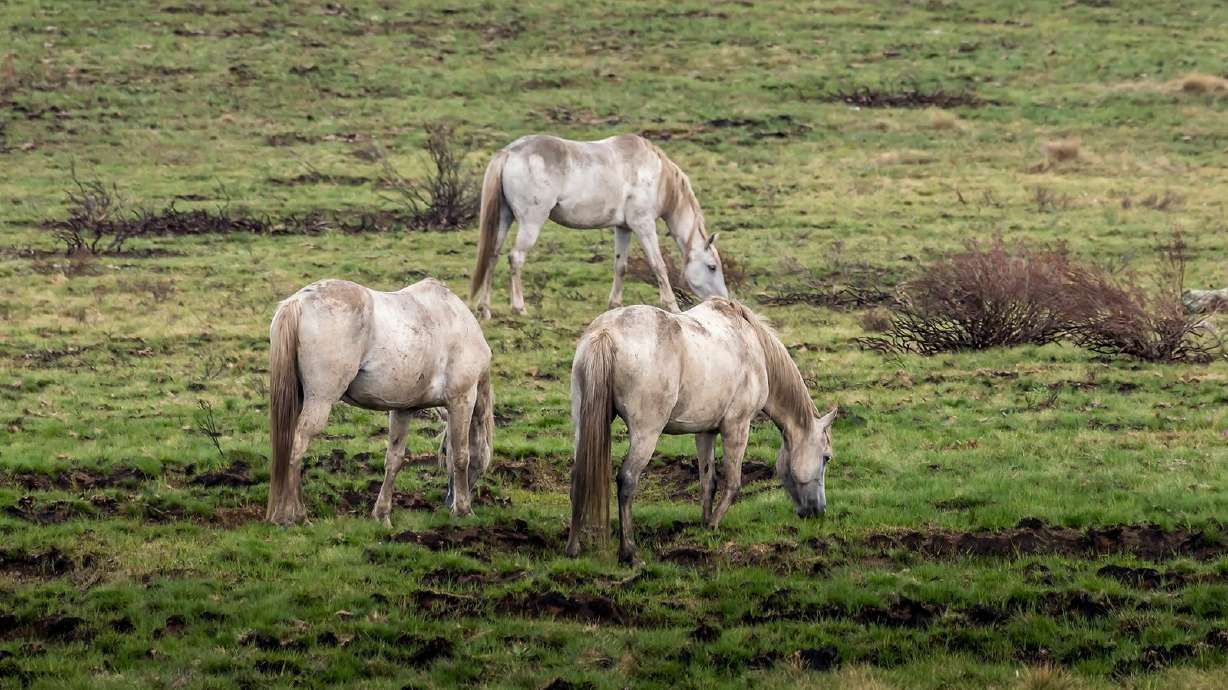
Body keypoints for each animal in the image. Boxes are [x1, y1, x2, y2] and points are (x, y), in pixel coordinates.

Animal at [265, 278, 494, 527]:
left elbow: (394, 459)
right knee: (297, 447)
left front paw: (382, 514)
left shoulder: (404, 409)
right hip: (320, 401)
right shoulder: (462, 400)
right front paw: (464, 509)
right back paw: (296, 515)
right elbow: (462, 455)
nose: (449, 500)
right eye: (442, 452)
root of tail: (299, 301)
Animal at [469, 133, 728, 319]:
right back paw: (519, 307)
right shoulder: (643, 225)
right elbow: (658, 265)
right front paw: (672, 306)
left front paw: (614, 304)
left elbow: (621, 266)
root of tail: (509, 152)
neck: (656, 176)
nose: (723, 301)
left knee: (492, 256)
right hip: (531, 222)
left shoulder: (623, 228)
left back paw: (485, 309)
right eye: (712, 267)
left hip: (504, 219)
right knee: (515, 258)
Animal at [564, 298, 837, 565]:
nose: (819, 511)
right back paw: (629, 553)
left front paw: (704, 524)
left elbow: (708, 481)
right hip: (646, 435)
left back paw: (573, 548)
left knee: (578, 476)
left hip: (582, 422)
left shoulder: (705, 432)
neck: (752, 342)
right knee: (627, 480)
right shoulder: (737, 427)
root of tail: (606, 333)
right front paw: (714, 524)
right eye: (826, 458)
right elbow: (733, 483)